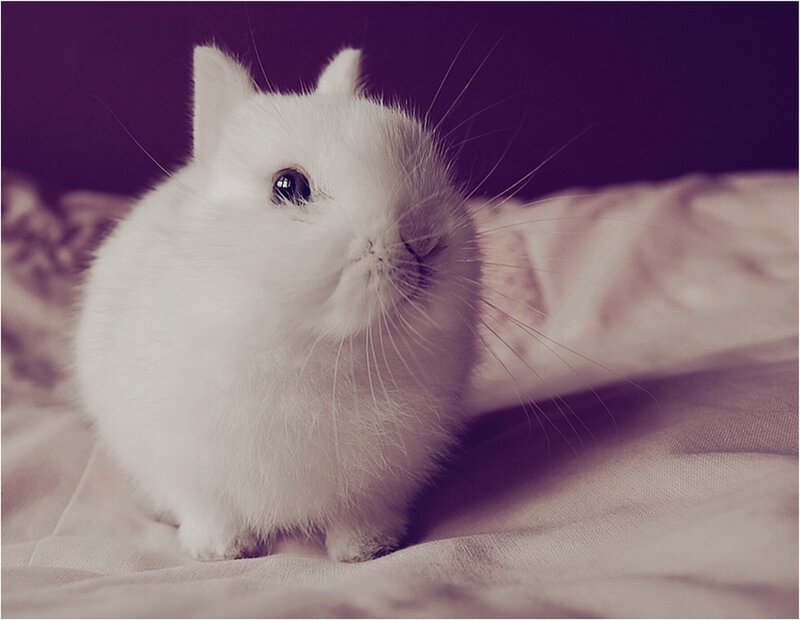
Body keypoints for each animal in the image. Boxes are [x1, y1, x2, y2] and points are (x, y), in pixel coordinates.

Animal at [73, 45, 481, 563]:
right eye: (288, 186)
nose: (425, 242)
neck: (322, 351)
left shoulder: (378, 483)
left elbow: (360, 514)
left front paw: (367, 550)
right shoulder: (189, 465)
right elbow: (211, 507)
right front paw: (221, 551)